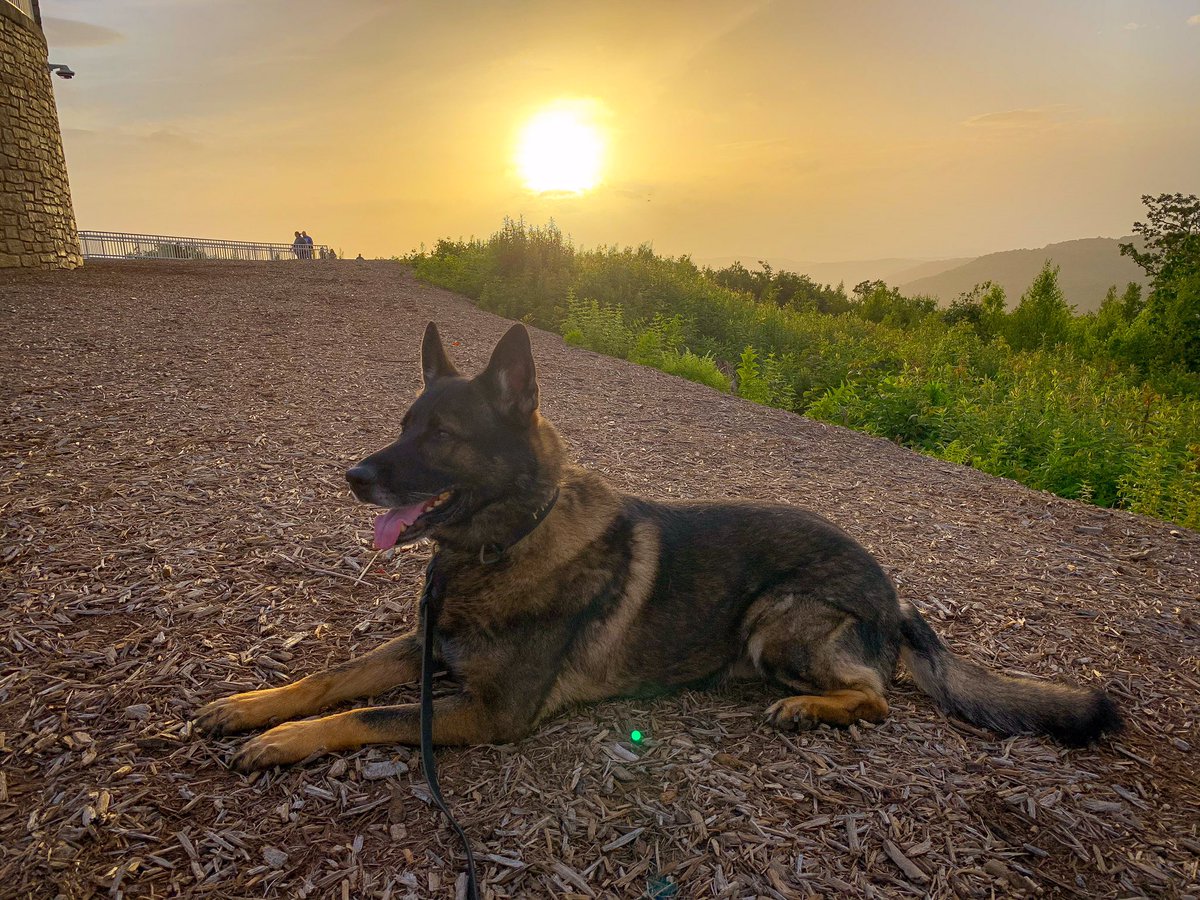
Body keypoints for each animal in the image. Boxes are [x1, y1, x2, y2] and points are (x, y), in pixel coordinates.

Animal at [192, 321, 1118, 768]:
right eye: (402, 425)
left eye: (442, 436)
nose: (351, 476)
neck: (509, 543)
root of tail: (893, 597)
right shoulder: (421, 647)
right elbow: (333, 677)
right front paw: (251, 707)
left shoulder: (488, 713)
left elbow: (368, 711)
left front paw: (280, 743)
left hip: (779, 618)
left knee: (878, 697)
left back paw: (809, 709)